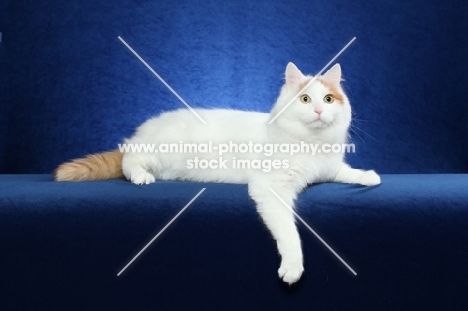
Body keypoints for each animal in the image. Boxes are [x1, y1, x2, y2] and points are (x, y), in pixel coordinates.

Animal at [54, 63, 380, 286]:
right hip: (156, 152)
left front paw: (368, 176)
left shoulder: (330, 167)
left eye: (328, 100)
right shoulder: (270, 188)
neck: (311, 144)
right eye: (305, 100)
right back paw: (140, 176)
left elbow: (346, 172)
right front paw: (293, 266)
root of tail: (144, 131)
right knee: (129, 159)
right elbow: (289, 232)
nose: (318, 112)